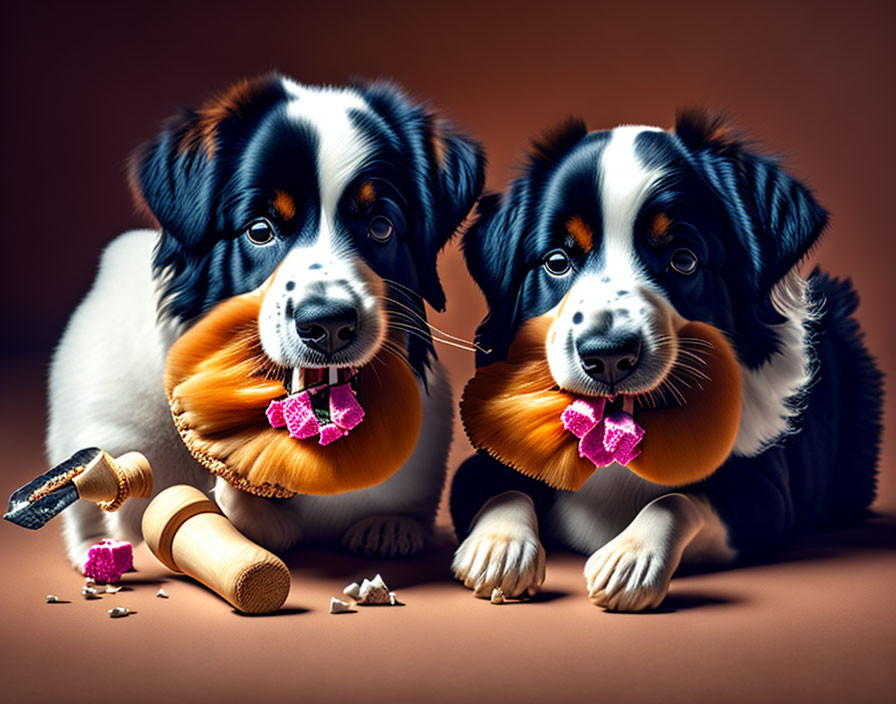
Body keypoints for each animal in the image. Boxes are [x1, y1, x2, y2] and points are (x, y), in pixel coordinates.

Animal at [452, 113, 884, 612]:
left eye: (683, 260)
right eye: (557, 261)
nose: (608, 355)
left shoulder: (766, 494)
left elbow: (679, 499)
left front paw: (631, 558)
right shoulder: (477, 466)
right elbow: (501, 487)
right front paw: (499, 547)